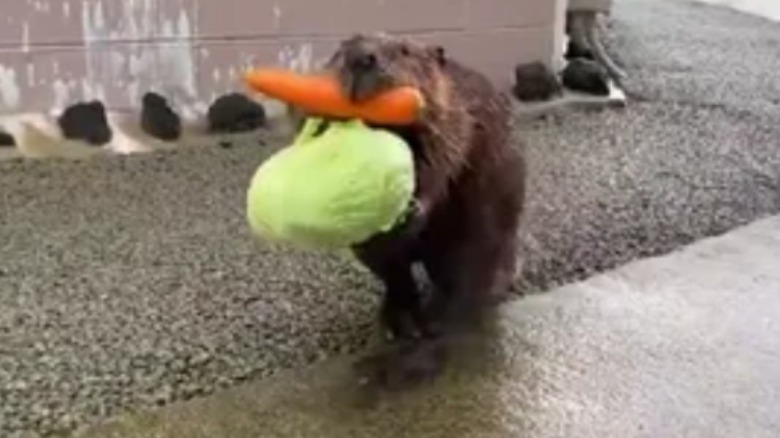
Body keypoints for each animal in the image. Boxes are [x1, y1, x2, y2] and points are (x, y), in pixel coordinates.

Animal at [304, 34, 524, 388]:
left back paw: (441, 318)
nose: (360, 58)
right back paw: (400, 323)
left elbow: (443, 159)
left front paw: (412, 208)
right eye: (342, 46)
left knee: (472, 270)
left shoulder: (457, 117)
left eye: (404, 50)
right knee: (398, 277)